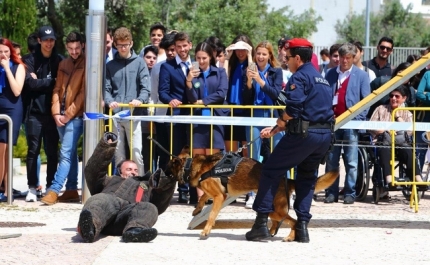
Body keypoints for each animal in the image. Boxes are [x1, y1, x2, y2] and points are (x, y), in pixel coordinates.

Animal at [166, 150, 338, 240]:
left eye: (168, 166)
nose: (161, 172)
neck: (190, 166)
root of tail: (286, 179)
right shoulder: (216, 193)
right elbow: (203, 197)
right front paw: (197, 209)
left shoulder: (219, 197)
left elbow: (212, 215)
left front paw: (206, 231)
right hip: (270, 208)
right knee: (280, 221)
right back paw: (271, 232)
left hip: (275, 210)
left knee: (293, 221)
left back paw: (289, 236)